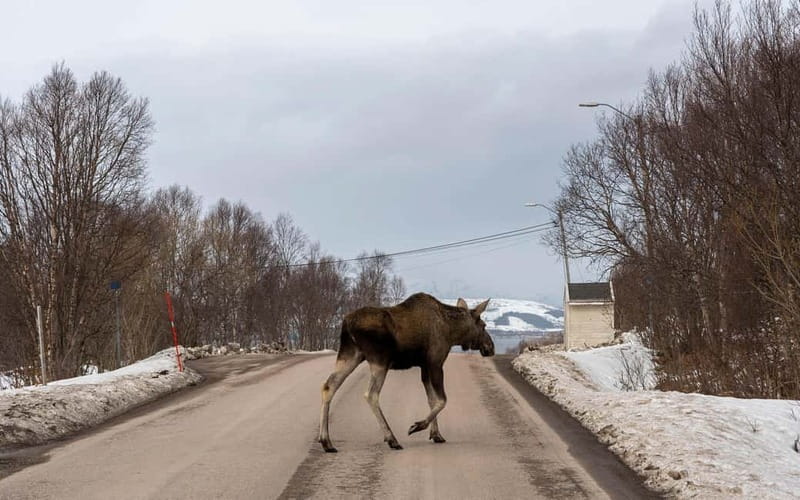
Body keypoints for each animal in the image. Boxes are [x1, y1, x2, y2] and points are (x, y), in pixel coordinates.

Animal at [318, 293, 494, 452]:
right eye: (484, 325)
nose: (490, 347)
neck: (453, 333)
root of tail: (347, 323)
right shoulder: (435, 362)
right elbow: (442, 400)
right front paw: (417, 426)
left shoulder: (424, 367)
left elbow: (432, 400)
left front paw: (436, 434)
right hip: (379, 361)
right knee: (371, 394)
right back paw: (392, 439)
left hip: (350, 354)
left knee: (329, 386)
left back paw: (326, 441)